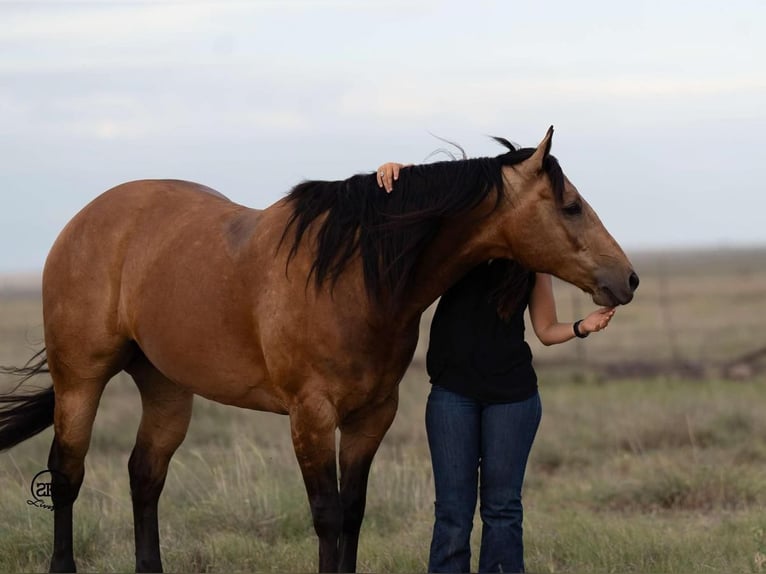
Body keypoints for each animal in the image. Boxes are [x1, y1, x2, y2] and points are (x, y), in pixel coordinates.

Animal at [0, 128, 640, 572]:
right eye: (570, 205)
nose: (627, 279)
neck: (355, 276)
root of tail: (85, 221)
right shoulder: (311, 416)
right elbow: (328, 515)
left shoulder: (370, 416)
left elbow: (353, 512)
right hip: (81, 381)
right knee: (68, 474)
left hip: (165, 386)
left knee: (145, 476)